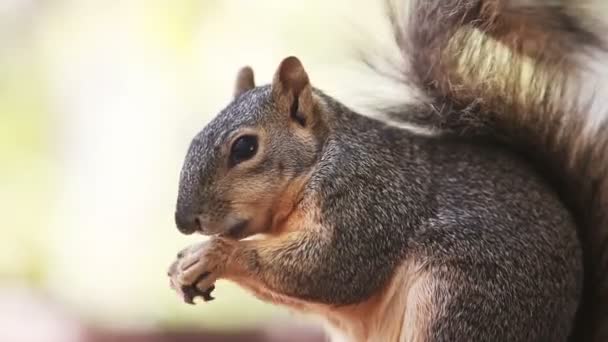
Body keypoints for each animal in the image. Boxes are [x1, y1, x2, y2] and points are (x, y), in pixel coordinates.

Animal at [166, 1, 608, 340]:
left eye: (245, 147)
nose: (185, 222)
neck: (321, 159)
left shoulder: (370, 201)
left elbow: (329, 267)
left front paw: (214, 254)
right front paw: (181, 266)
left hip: (459, 299)